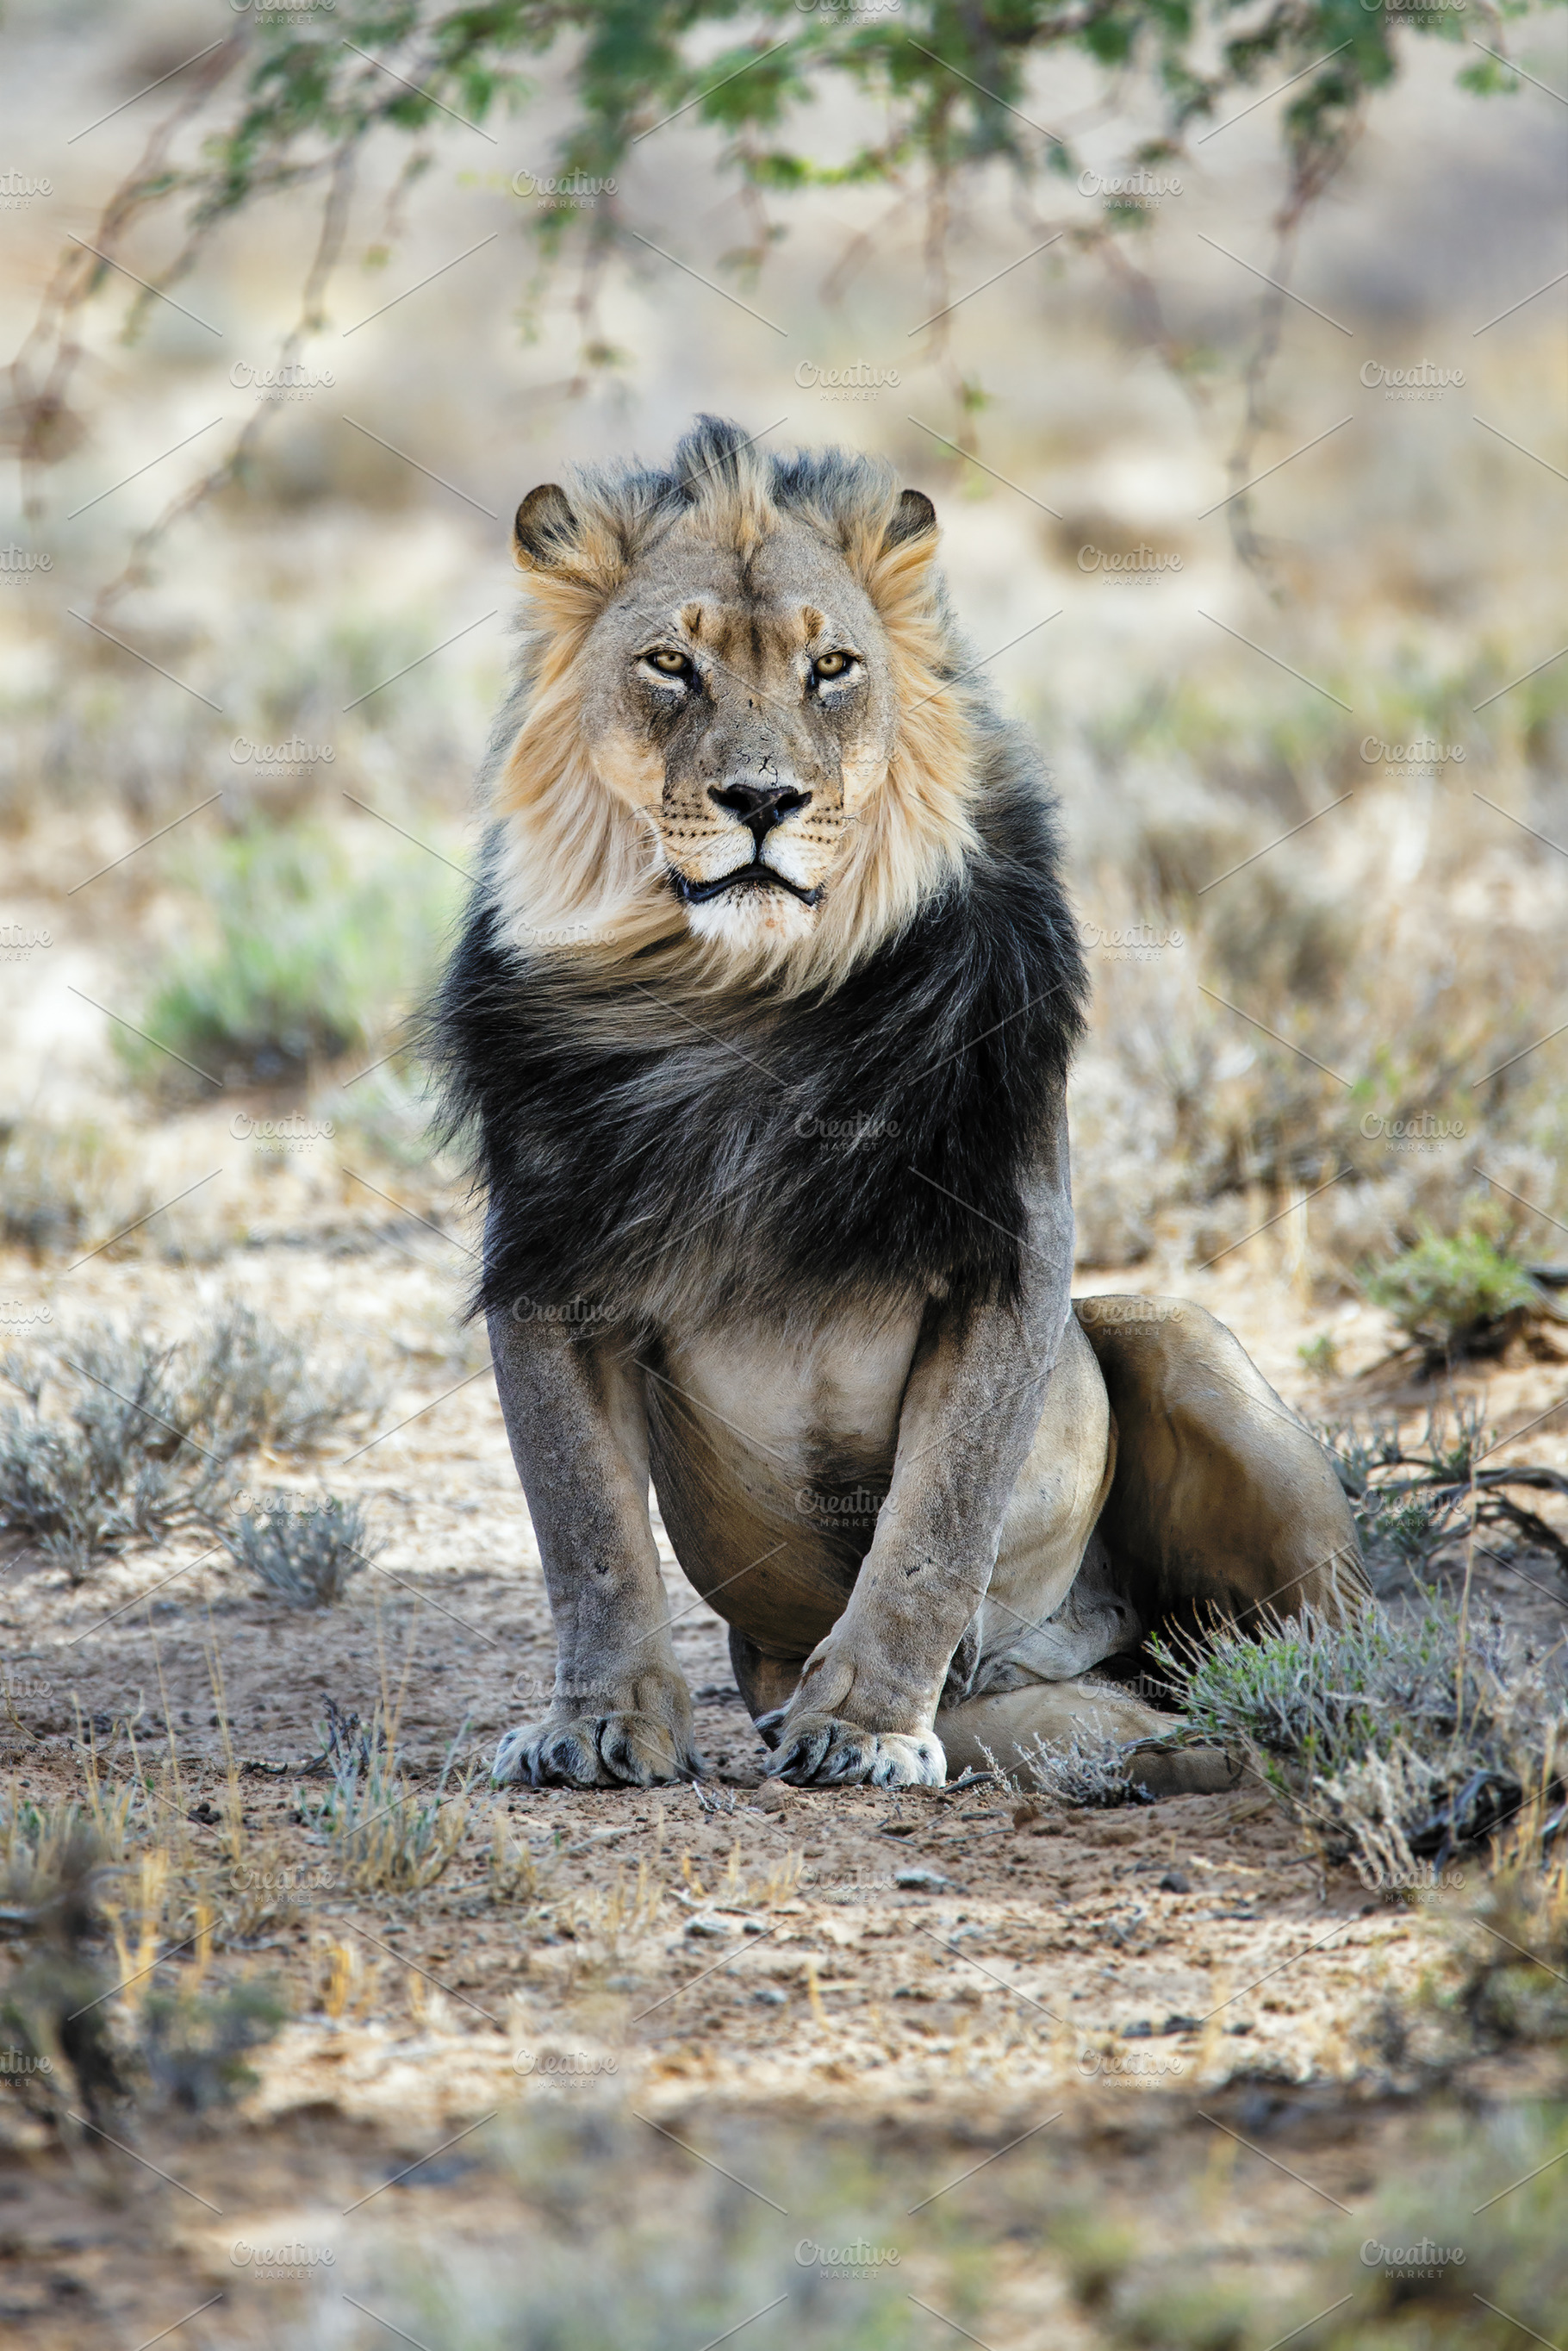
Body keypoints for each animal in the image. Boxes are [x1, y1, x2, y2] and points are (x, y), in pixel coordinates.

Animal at [434, 417, 1362, 1792]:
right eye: (670, 665)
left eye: (831, 668)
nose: (762, 801)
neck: (744, 998)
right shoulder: (550, 1263)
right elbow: (586, 1530)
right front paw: (598, 1723)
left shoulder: (1008, 1254)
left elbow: (937, 1519)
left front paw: (866, 1729)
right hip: (1050, 1710)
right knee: (1138, 1727)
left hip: (1177, 1335)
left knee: (1343, 1637)